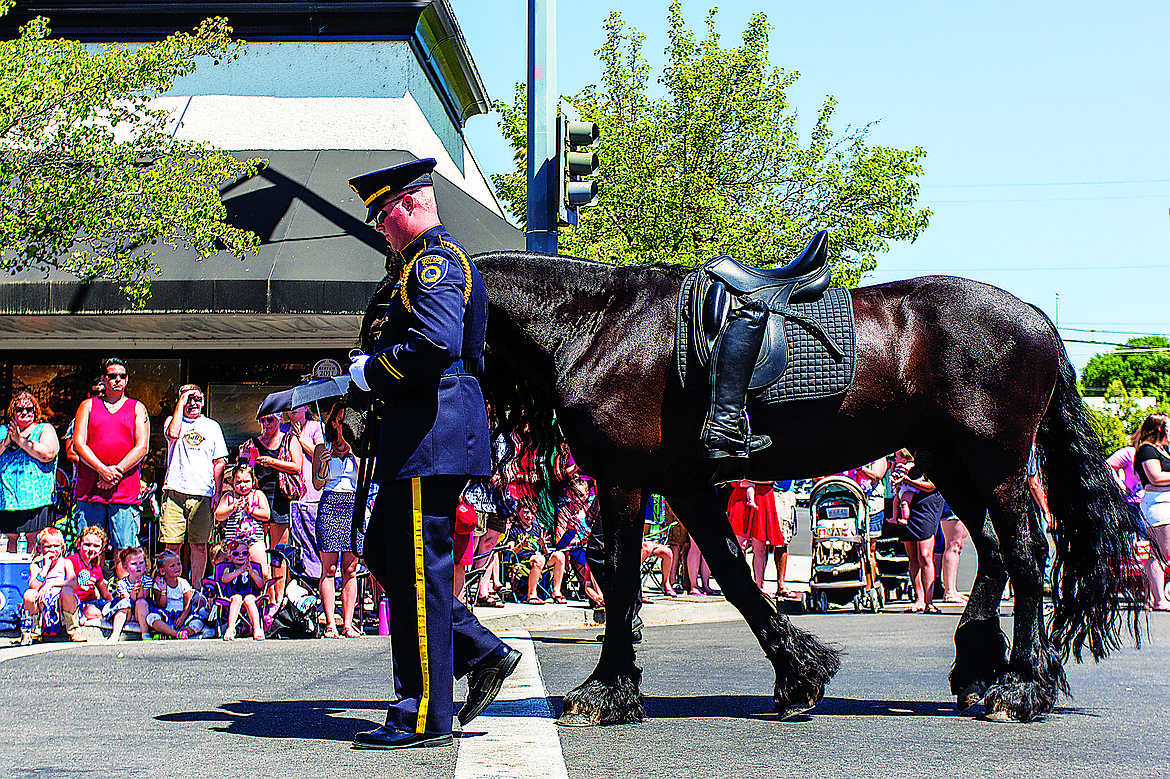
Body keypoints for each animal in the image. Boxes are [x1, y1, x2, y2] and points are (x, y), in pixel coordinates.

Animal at [470, 250, 1137, 720]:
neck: (597, 325)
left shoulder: (625, 480)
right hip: (949, 461)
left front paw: (606, 691)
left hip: (995, 459)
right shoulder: (686, 485)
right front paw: (799, 675)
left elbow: (618, 575)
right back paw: (978, 671)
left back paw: (1020, 687)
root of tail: (1040, 322)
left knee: (1026, 554)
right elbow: (733, 573)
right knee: (996, 551)